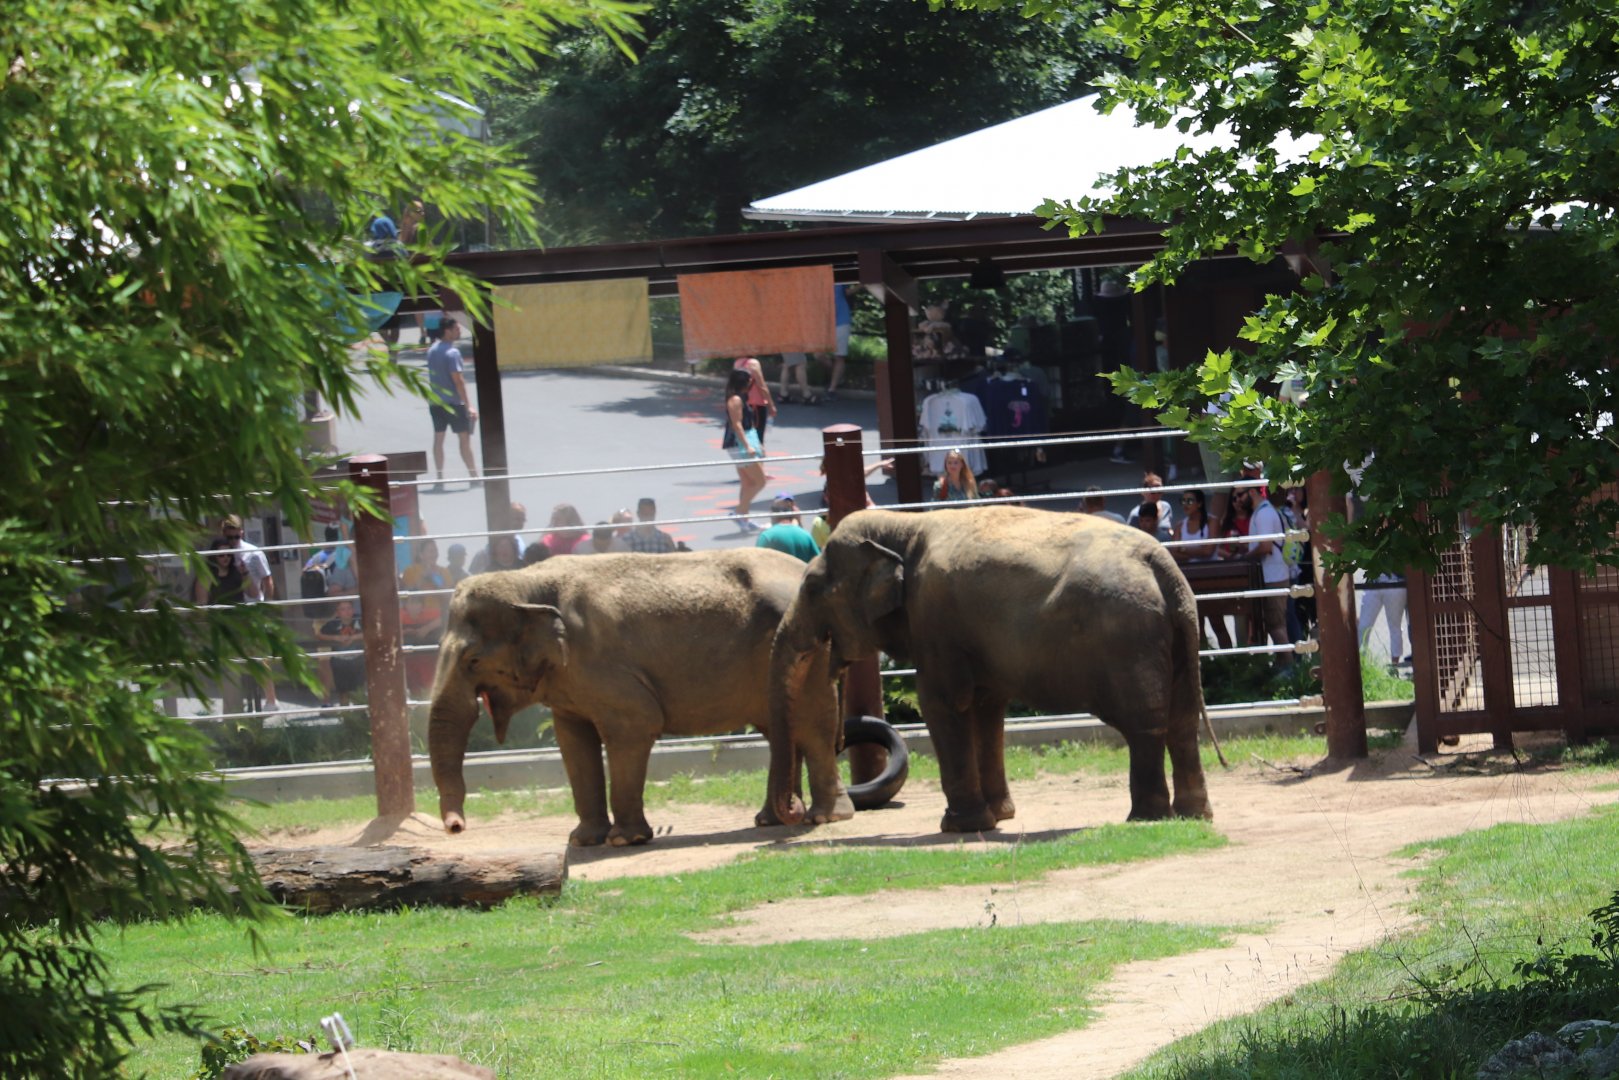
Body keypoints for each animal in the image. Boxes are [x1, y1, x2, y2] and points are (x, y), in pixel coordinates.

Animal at [427, 548, 831, 846]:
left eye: (473, 660)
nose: (455, 828)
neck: (528, 581)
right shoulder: (569, 682)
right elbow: (572, 740)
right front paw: (582, 840)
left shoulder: (601, 664)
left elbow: (635, 725)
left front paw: (624, 840)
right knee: (781, 730)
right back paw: (773, 819)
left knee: (805, 725)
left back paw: (811, 817)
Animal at [766, 506, 1213, 833]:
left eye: (811, 588)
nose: (796, 813)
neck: (904, 524)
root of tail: (1162, 563)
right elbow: (986, 709)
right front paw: (999, 817)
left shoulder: (934, 619)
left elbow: (941, 704)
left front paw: (959, 826)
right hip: (1174, 636)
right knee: (1182, 721)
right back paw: (1192, 815)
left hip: (1129, 640)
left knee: (1144, 724)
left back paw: (1146, 820)